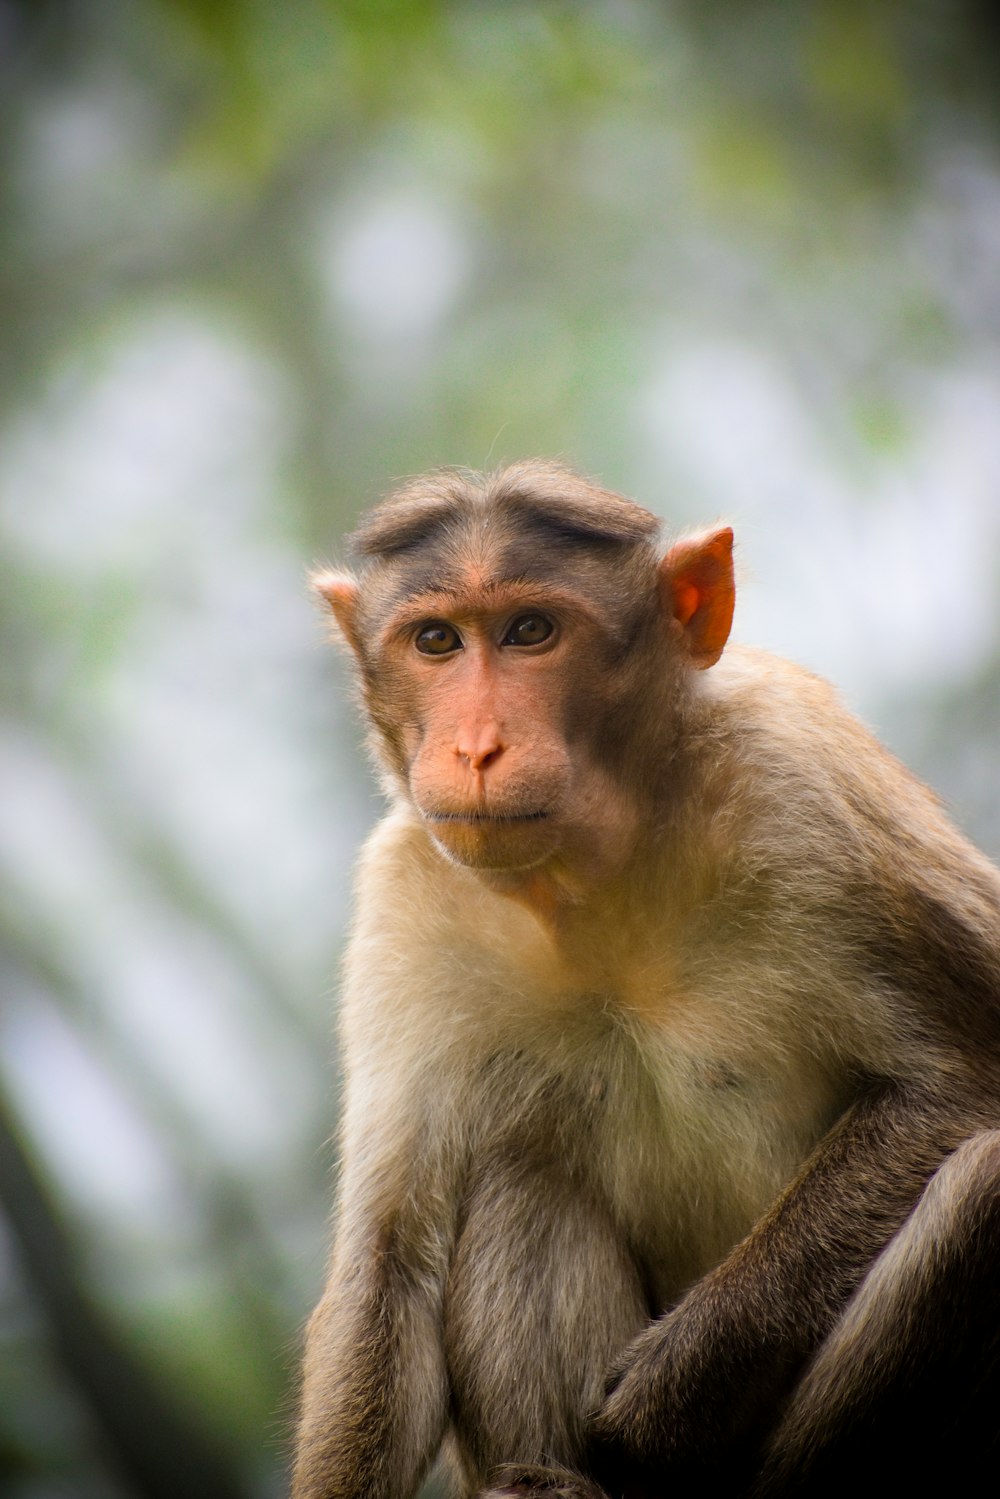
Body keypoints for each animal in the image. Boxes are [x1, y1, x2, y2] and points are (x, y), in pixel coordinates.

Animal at [293, 458, 1000, 1499]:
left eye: (530, 631)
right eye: (436, 640)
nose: (475, 748)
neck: (594, 876)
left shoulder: (804, 775)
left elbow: (965, 1082)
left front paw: (665, 1399)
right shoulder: (405, 899)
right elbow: (390, 1265)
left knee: (984, 1183)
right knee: (523, 1178)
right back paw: (551, 1480)